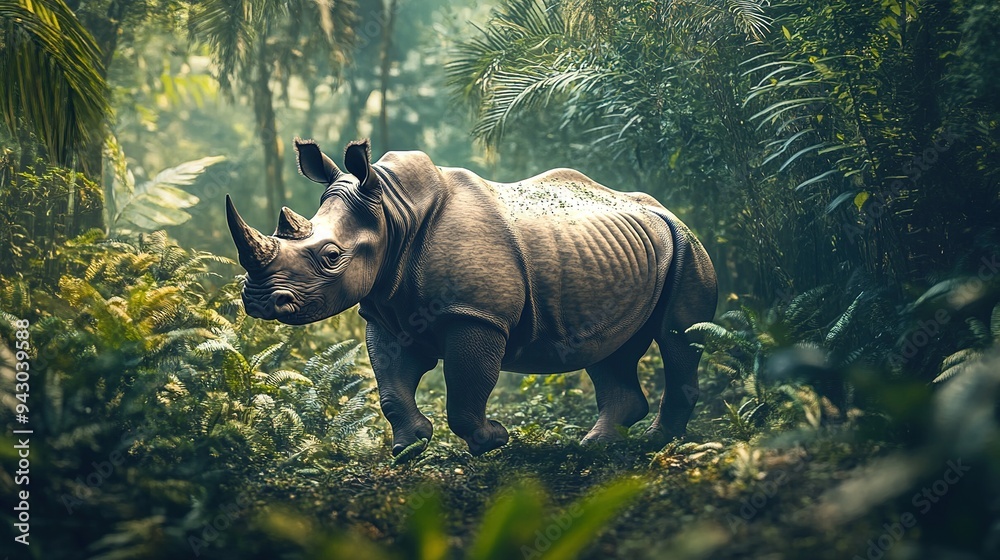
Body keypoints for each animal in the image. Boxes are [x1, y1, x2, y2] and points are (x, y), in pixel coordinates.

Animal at [226, 138, 717, 456]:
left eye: (331, 256)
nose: (259, 302)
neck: (393, 213)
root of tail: (666, 210)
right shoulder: (387, 311)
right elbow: (390, 386)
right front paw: (409, 447)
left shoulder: (476, 314)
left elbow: (465, 388)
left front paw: (494, 441)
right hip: (622, 254)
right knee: (609, 351)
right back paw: (595, 447)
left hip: (687, 246)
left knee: (677, 337)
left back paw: (653, 443)